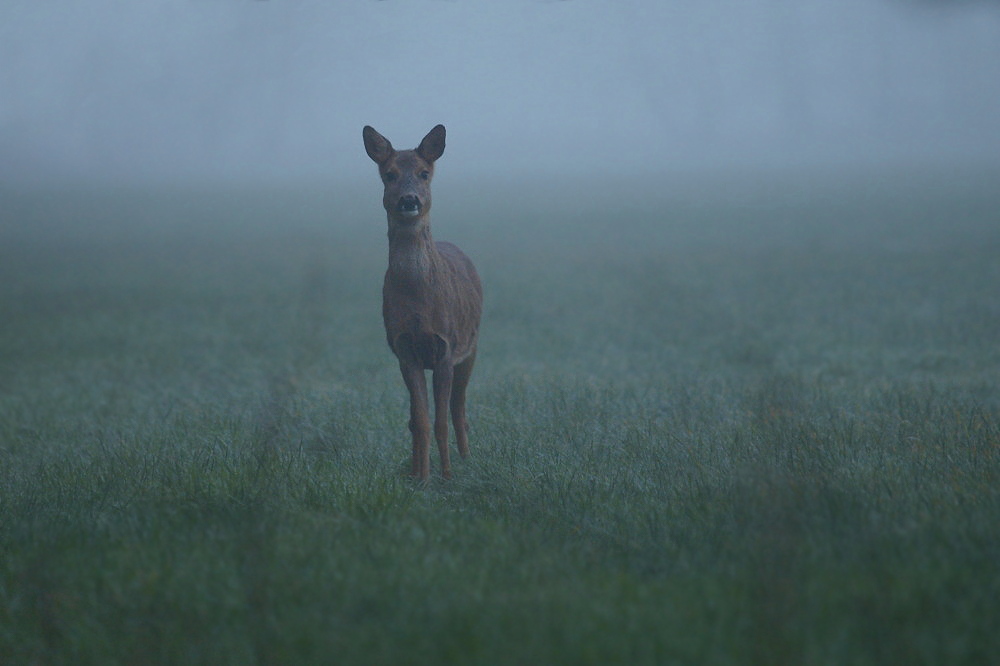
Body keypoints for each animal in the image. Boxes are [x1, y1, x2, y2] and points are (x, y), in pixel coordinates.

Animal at [364, 124, 484, 478]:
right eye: (389, 174)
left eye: (424, 173)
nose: (409, 199)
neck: (420, 305)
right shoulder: (404, 350)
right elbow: (419, 421)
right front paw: (421, 478)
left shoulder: (446, 347)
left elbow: (441, 421)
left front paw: (446, 476)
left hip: (471, 347)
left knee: (459, 409)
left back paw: (465, 459)